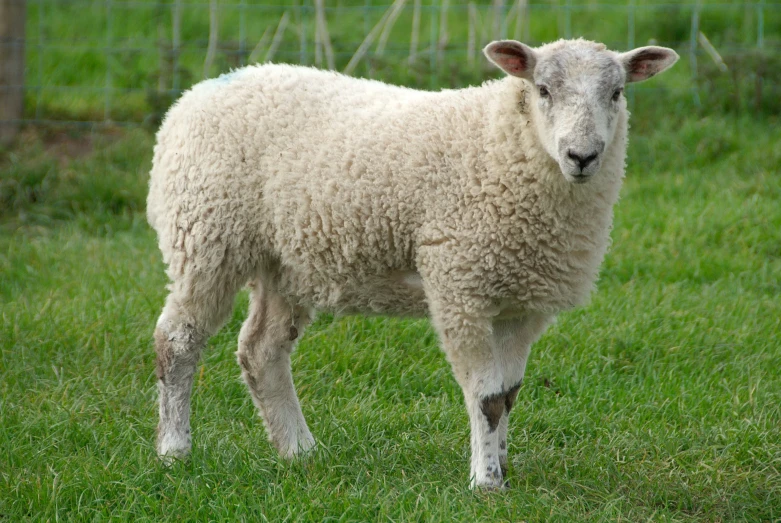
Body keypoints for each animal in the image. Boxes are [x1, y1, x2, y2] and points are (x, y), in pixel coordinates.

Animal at [148, 37, 676, 492]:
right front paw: (486, 483)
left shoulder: (523, 303)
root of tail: (196, 93)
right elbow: (486, 399)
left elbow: (509, 394)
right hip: (206, 235)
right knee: (178, 340)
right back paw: (174, 450)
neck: (503, 145)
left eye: (617, 93)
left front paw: (504, 469)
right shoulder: (460, 286)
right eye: (543, 89)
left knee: (261, 351)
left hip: (286, 262)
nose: (582, 156)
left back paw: (299, 450)